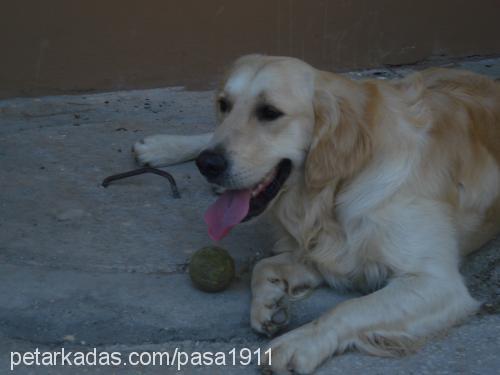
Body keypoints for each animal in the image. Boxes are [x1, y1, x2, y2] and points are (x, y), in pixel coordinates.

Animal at [133, 54, 500, 374]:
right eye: (224, 105)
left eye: (270, 112)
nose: (208, 165)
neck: (337, 185)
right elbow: (264, 266)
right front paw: (270, 301)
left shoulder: (436, 282)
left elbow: (348, 308)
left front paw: (299, 341)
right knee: (207, 136)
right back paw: (162, 146)